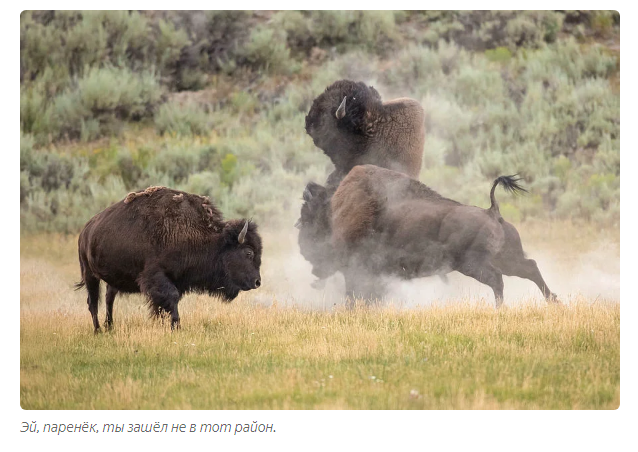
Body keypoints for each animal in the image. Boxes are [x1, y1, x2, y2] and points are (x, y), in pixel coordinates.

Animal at [75, 185, 262, 332]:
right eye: (248, 253)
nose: (257, 282)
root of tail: (85, 231)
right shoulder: (156, 277)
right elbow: (170, 299)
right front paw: (176, 327)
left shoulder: (175, 280)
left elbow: (165, 305)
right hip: (89, 274)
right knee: (93, 302)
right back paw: (98, 330)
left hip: (112, 279)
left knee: (109, 298)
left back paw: (110, 326)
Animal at [298, 166, 556, 308]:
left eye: (308, 215)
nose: (302, 247)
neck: (334, 208)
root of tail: (491, 211)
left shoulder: (356, 269)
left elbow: (355, 293)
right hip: (507, 258)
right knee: (530, 268)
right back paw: (554, 301)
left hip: (472, 264)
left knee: (498, 279)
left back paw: (501, 309)